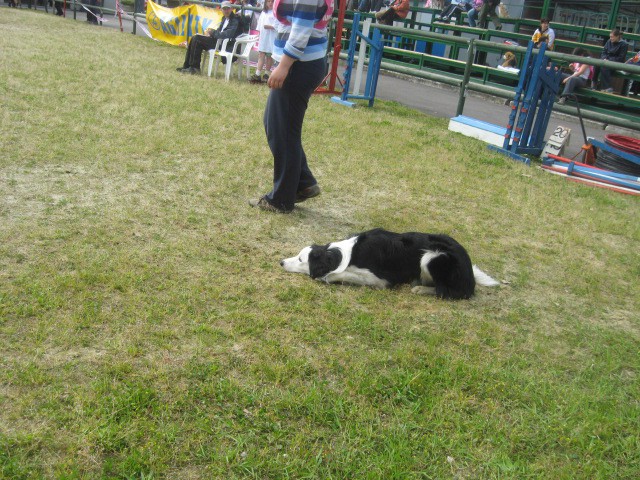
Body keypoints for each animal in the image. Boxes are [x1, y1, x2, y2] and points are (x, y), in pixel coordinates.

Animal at [282, 230, 500, 300]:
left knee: (447, 291)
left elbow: (337, 274)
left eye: (300, 259)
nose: (281, 261)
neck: (340, 254)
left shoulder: (381, 280)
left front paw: (326, 277)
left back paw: (421, 289)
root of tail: (470, 277)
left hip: (432, 256)